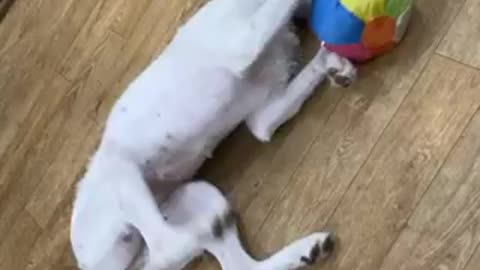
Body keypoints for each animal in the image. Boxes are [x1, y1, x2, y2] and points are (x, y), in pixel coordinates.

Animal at [70, 0, 356, 270]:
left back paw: (308, 250)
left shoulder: (262, 117)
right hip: (120, 165)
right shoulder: (243, 44)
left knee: (239, 265)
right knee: (169, 247)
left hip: (197, 194)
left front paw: (329, 61)